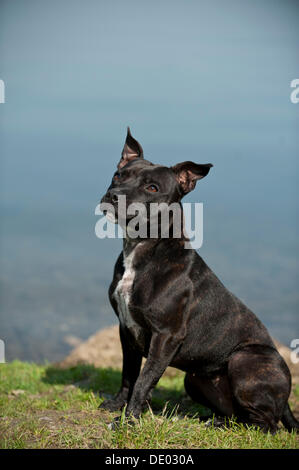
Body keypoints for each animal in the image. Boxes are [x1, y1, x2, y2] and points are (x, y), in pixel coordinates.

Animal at [101, 127, 299, 434]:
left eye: (152, 188)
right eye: (118, 175)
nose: (114, 195)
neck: (143, 249)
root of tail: (287, 401)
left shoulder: (166, 336)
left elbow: (144, 381)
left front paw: (129, 420)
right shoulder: (126, 330)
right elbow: (128, 375)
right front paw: (116, 406)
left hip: (244, 359)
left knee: (268, 425)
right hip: (194, 379)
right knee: (238, 414)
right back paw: (216, 422)